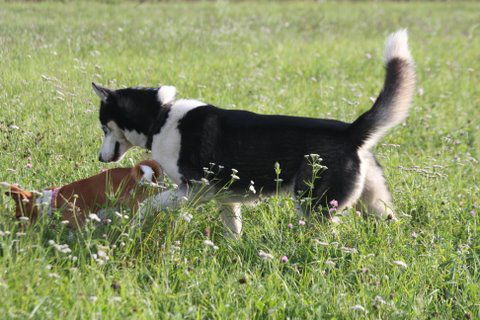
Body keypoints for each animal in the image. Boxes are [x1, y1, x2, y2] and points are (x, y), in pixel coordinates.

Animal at [93, 30, 412, 235]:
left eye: (103, 127)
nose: (99, 158)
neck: (162, 116)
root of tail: (351, 132)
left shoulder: (195, 190)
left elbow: (148, 205)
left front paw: (133, 227)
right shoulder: (226, 198)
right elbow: (234, 229)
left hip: (314, 206)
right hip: (374, 204)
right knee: (393, 224)